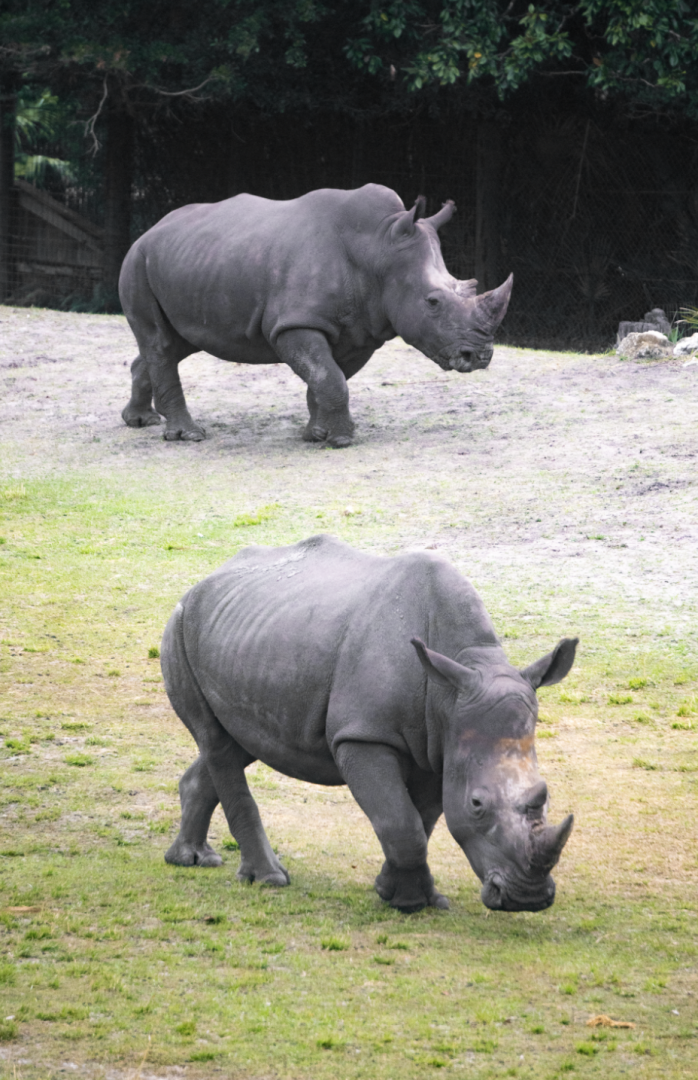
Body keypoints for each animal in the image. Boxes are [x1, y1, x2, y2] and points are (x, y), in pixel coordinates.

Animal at [120, 184, 512, 448]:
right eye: (432, 302)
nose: (480, 357)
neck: (378, 247)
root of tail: (150, 230)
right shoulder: (294, 323)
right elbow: (329, 377)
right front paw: (341, 440)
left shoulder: (361, 330)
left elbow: (326, 378)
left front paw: (316, 434)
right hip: (138, 261)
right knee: (159, 342)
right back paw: (188, 435)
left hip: (191, 263)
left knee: (176, 343)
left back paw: (140, 421)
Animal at [161, 536, 576, 913]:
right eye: (477, 804)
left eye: (544, 796)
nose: (527, 899)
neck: (458, 680)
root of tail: (203, 581)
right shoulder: (363, 736)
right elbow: (400, 821)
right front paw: (408, 902)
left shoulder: (440, 743)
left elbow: (422, 820)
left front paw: (409, 895)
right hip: (179, 626)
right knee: (216, 742)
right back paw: (268, 879)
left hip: (247, 638)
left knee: (238, 742)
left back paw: (192, 859)